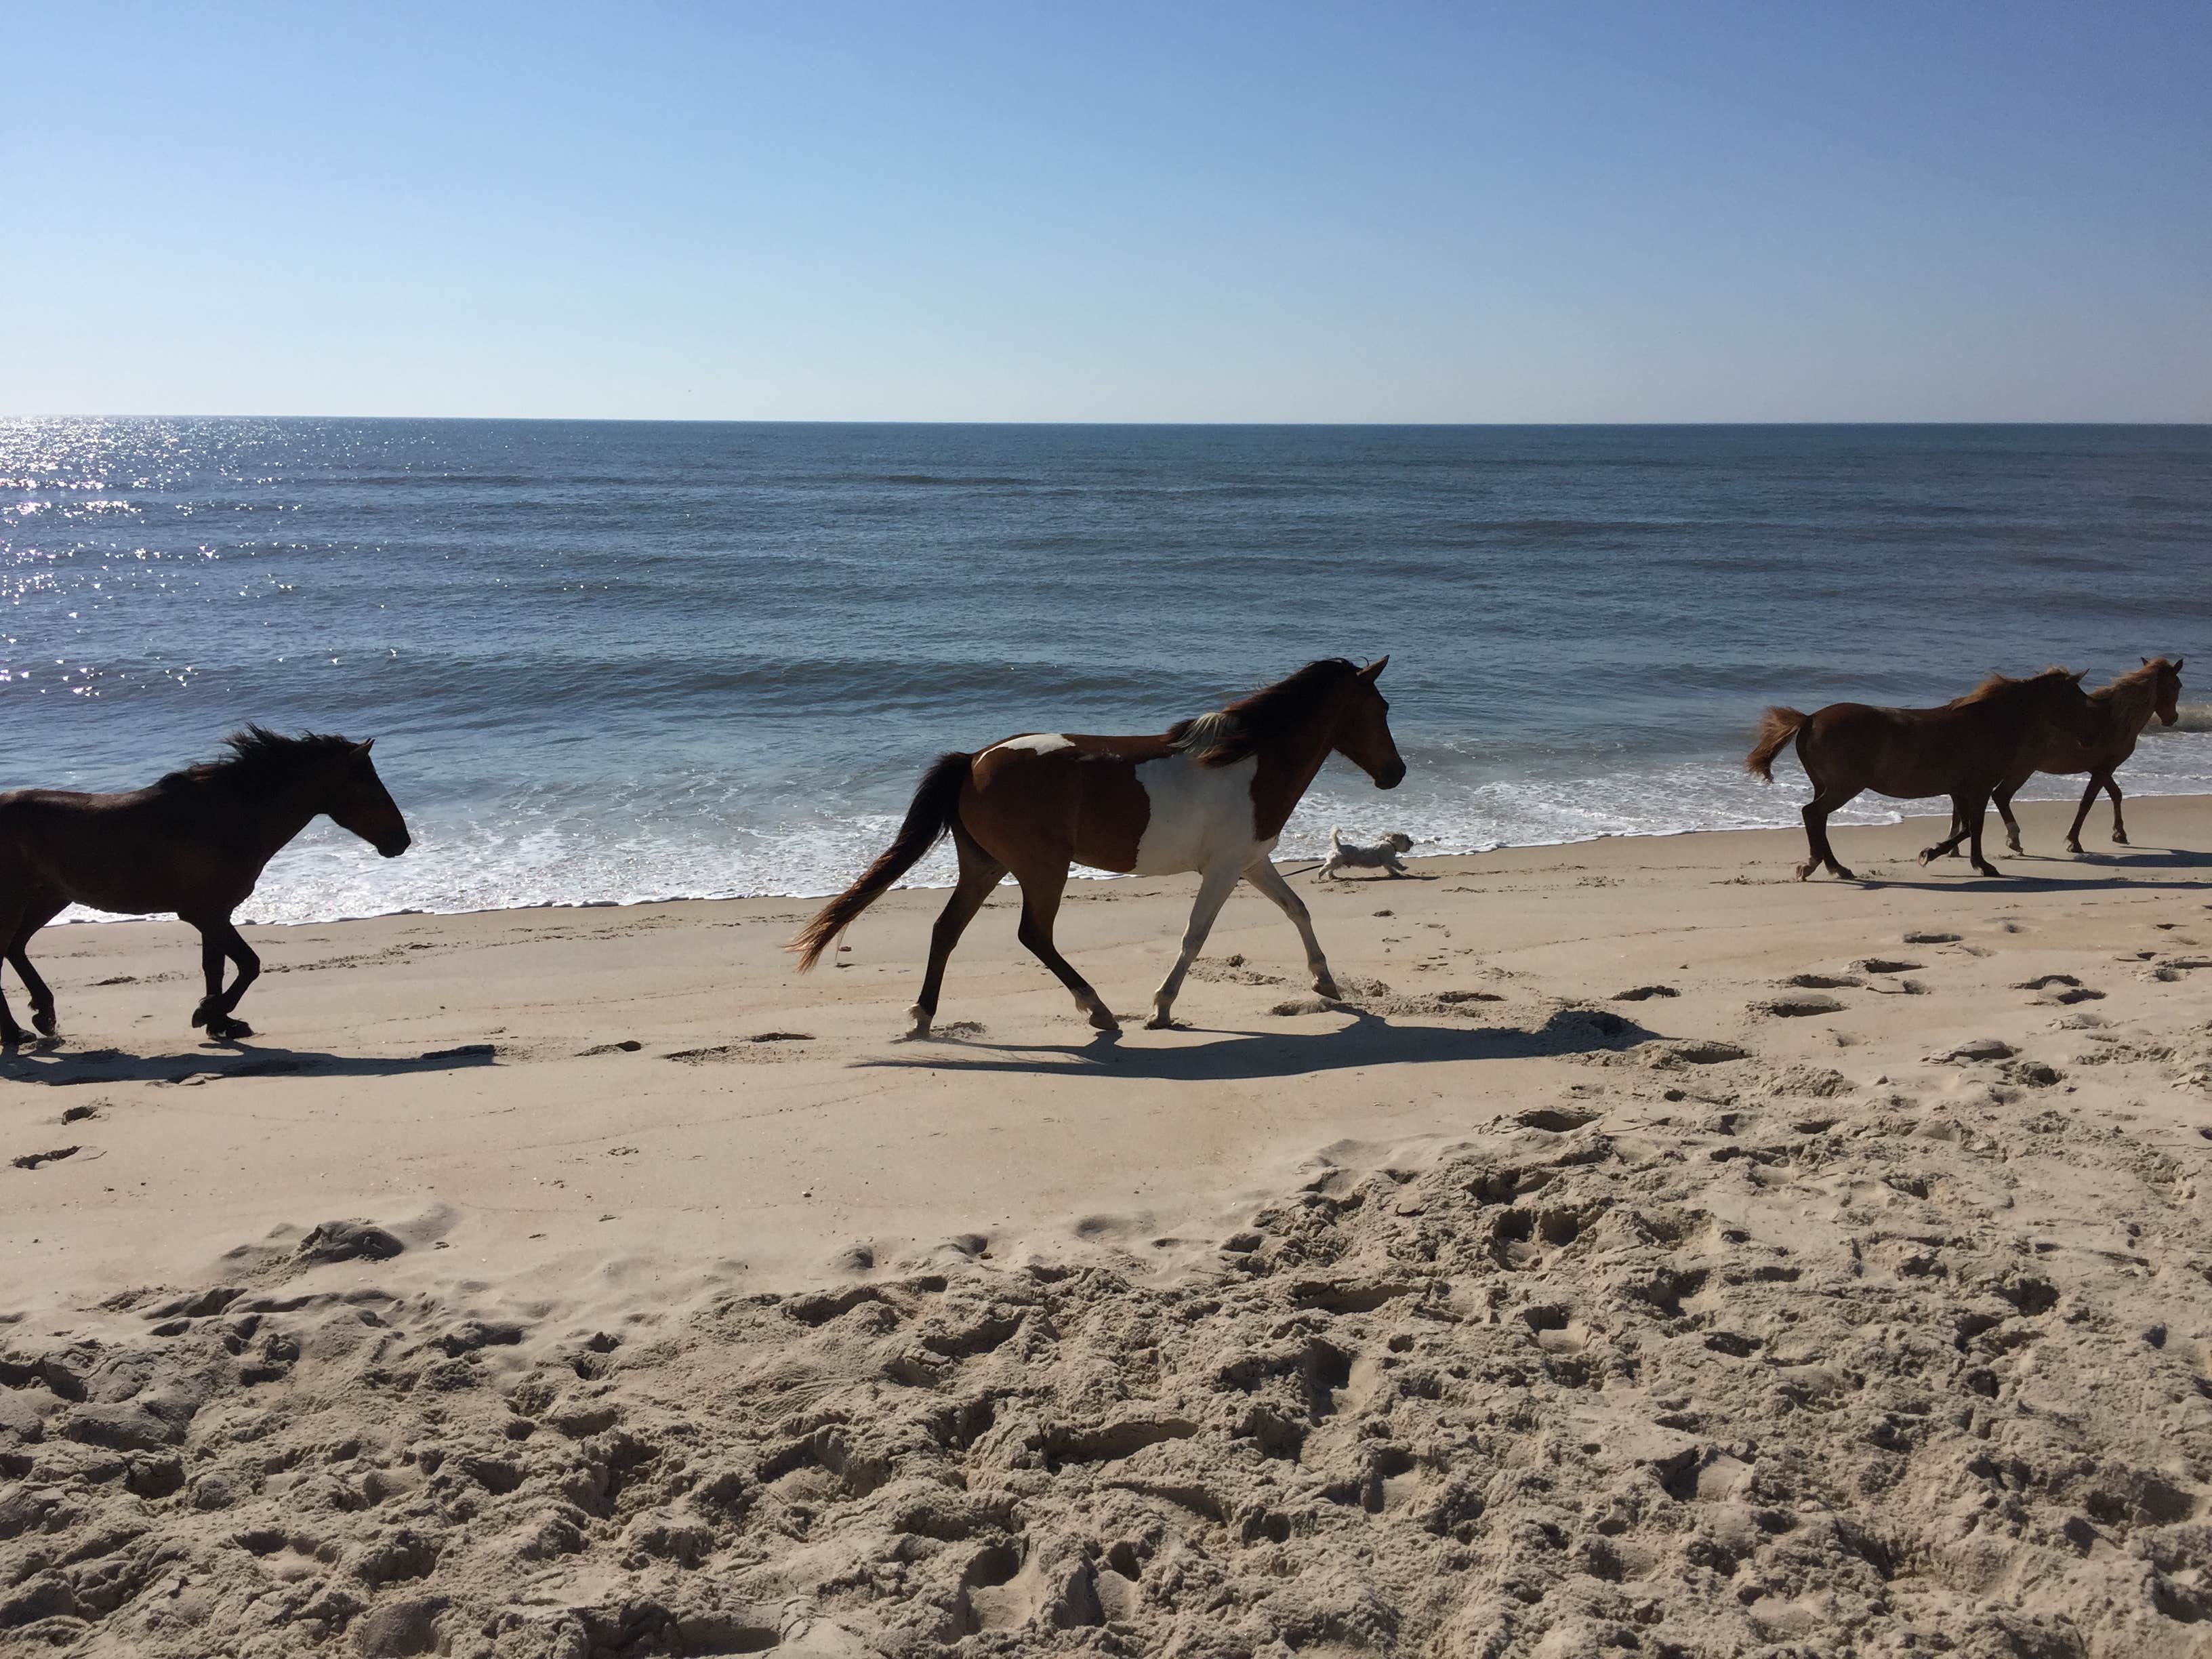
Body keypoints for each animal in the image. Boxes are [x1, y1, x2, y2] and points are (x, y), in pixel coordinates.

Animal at [0, 727, 411, 1045]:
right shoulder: (204, 913)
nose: (402, 841)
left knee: (16, 948)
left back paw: (43, 1016)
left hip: (49, 897)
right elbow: (249, 964)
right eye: (369, 789)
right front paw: (209, 1012)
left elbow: (216, 968)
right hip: (16, 902)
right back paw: (16, 1032)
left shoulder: (216, 914)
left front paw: (221, 1023)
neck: (227, 819)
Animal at [790, 657, 1405, 1036]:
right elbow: (1195, 935)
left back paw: (923, 1016)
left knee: (947, 929)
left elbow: (1297, 908)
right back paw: (1098, 1009)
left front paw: (1326, 981)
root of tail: (974, 760)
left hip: (986, 865)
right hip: (1042, 868)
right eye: (1380, 710)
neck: (1247, 762)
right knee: (1033, 935)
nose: (1396, 773)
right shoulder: (1225, 868)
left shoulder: (1252, 862)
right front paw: (1161, 1008)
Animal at [1744, 668, 2094, 881]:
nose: (2089, 737)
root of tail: (1810, 719)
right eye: (2078, 700)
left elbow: (1965, 828)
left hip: (1827, 786)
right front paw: (1973, 863)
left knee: (1818, 819)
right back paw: (1819, 866)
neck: (1988, 722)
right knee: (1813, 815)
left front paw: (1937, 854)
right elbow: (1973, 828)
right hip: (1843, 787)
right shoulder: (1978, 789)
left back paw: (1834, 867)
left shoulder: (1960, 790)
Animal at [1942, 656, 2183, 857]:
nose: (2172, 718)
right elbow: (2087, 803)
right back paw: (2013, 841)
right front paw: (2074, 842)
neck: (2116, 719)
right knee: (2000, 796)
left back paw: (1955, 847)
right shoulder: (2104, 769)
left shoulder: (2101, 769)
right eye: (2177, 685)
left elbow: (2116, 794)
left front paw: (2119, 834)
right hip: (2021, 769)